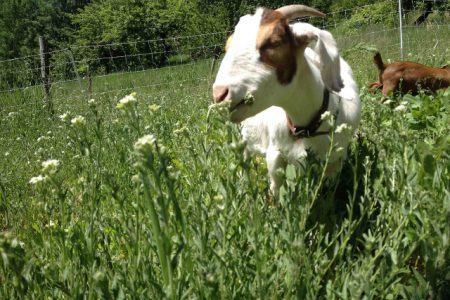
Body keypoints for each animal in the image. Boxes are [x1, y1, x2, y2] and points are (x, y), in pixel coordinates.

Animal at [212, 5, 362, 197]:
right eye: (228, 46)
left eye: (275, 42)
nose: (219, 94)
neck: (308, 128)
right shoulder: (275, 154)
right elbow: (275, 189)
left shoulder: (336, 161)